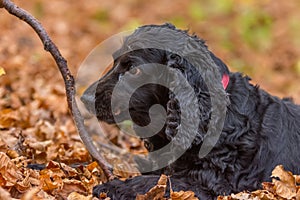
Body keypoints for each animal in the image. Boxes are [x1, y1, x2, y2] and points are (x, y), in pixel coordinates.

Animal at [80, 23, 300, 198]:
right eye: (115, 61)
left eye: (134, 69)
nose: (84, 98)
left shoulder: (208, 184)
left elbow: (152, 182)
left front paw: (112, 186)